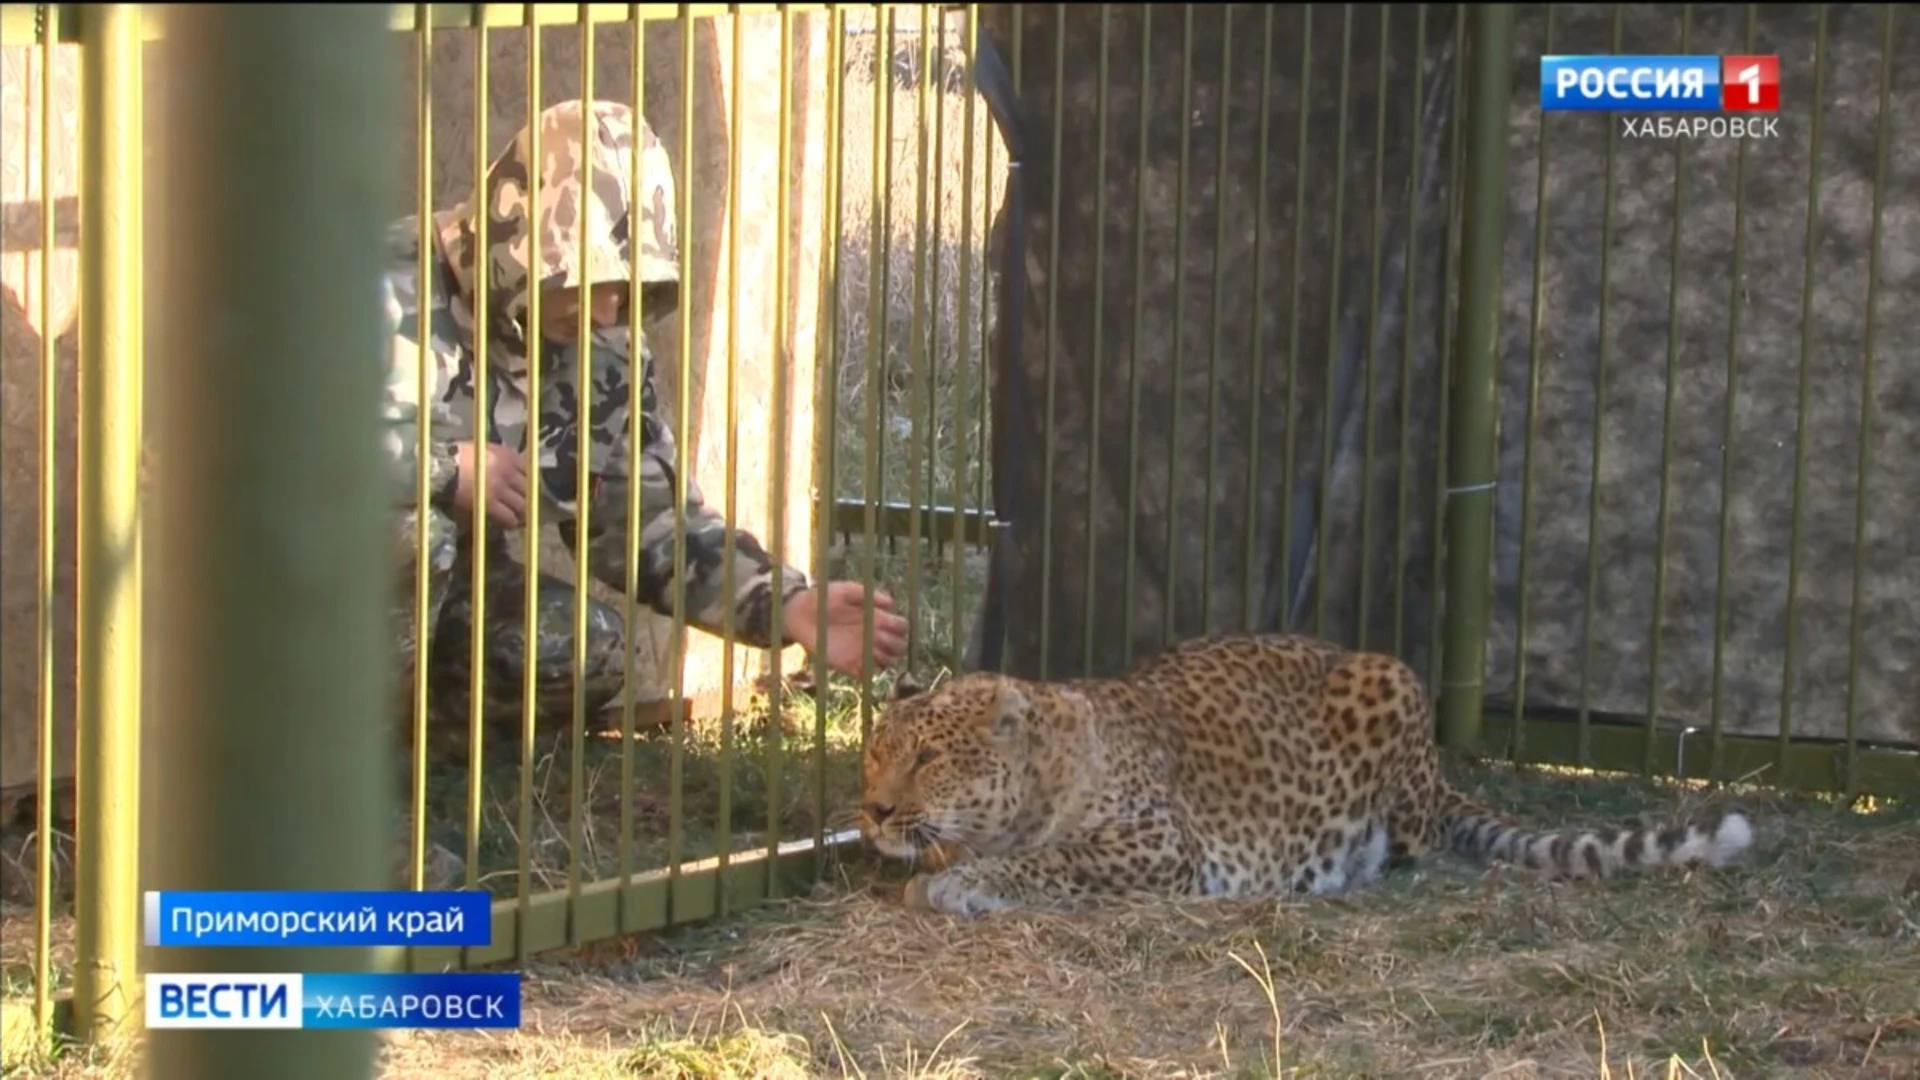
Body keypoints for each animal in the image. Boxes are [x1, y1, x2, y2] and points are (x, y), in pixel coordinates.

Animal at [856, 630, 1758, 914]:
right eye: (873, 756)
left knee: (1414, 843)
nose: (871, 811)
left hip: (1393, 686)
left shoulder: (1160, 846)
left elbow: (1049, 859)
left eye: (928, 758)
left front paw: (963, 881)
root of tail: (1438, 768)